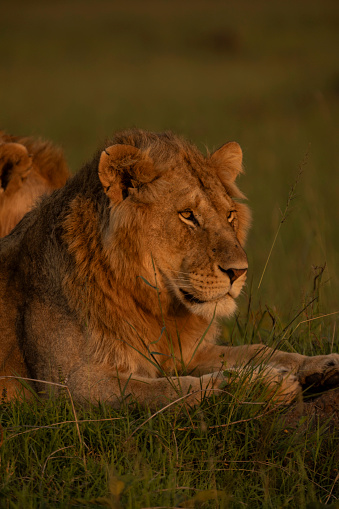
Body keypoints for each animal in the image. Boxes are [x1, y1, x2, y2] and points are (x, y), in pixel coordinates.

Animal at [0, 129, 339, 406]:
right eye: (187, 215)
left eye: (229, 215)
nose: (239, 271)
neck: (154, 308)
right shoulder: (69, 386)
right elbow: (173, 389)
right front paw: (265, 384)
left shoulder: (189, 353)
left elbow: (257, 350)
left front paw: (322, 364)